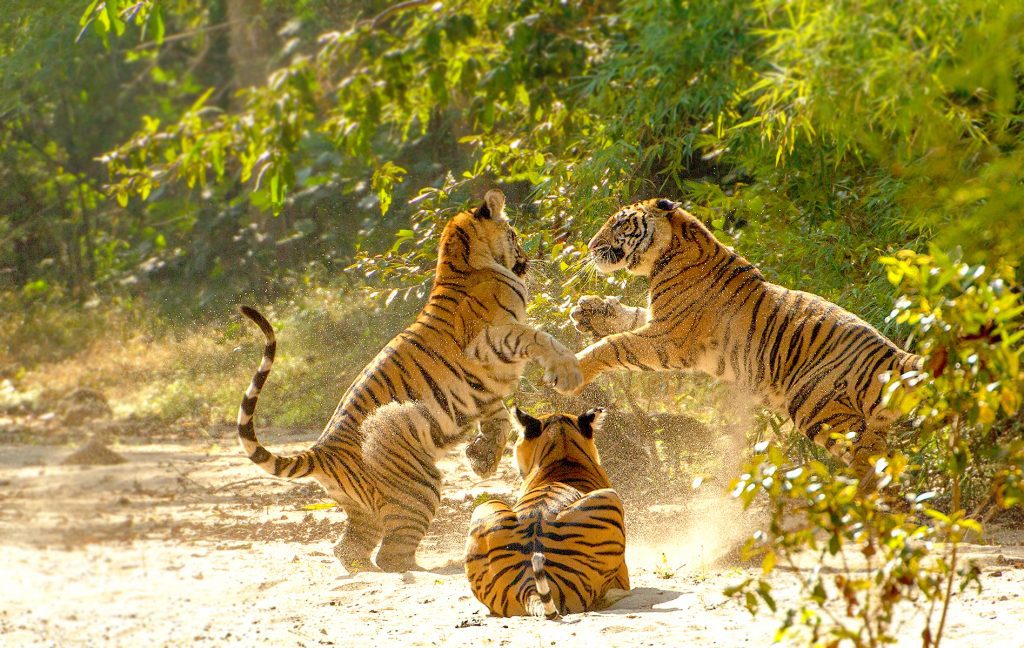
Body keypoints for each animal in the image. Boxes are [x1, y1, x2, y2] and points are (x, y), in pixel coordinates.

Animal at [234, 188, 581, 569]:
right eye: (515, 236)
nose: (529, 258)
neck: (458, 260)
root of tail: (321, 450)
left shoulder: (483, 384)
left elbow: (499, 416)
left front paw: (482, 459)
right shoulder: (493, 340)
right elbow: (539, 337)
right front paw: (568, 372)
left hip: (363, 508)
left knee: (350, 548)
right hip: (417, 485)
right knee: (391, 555)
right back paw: (442, 565)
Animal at [565, 199, 925, 487]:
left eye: (619, 223)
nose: (591, 246)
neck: (668, 253)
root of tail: (893, 354)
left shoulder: (669, 337)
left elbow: (615, 345)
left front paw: (574, 370)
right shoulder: (660, 322)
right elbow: (628, 318)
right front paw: (590, 311)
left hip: (819, 408)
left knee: (869, 463)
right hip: (864, 423)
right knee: (885, 462)